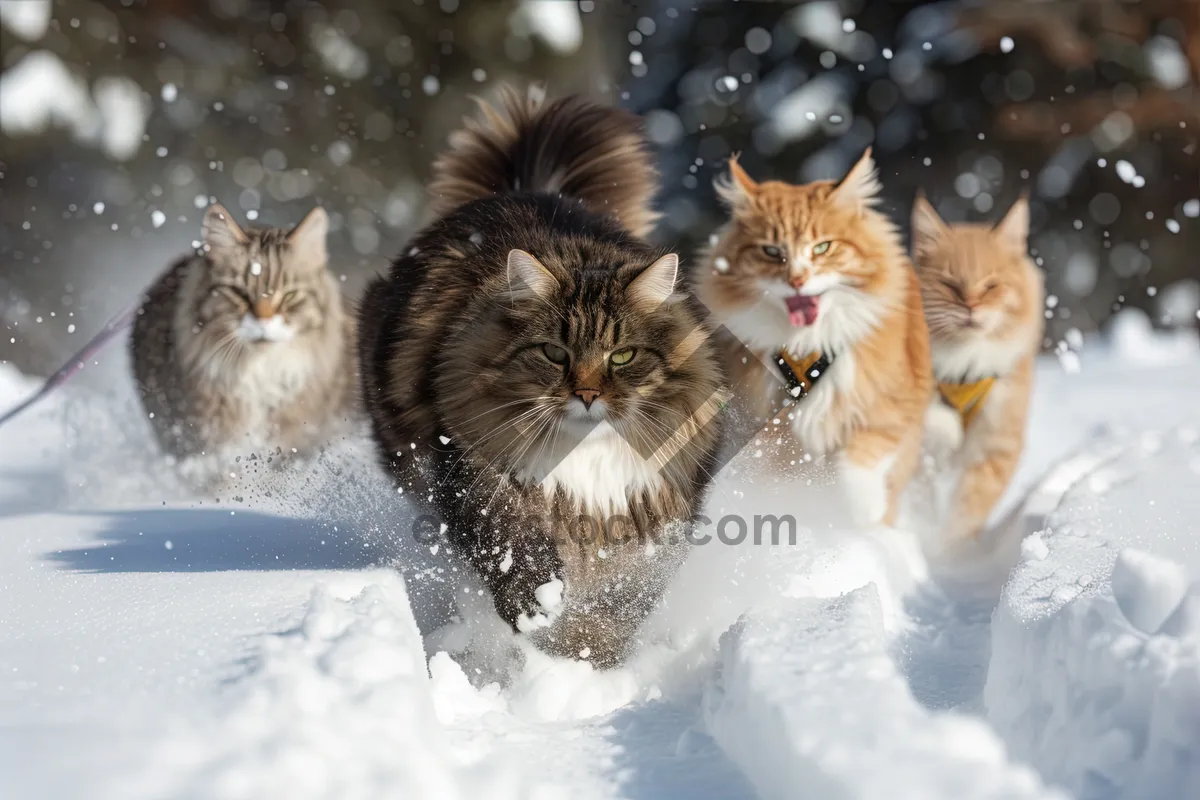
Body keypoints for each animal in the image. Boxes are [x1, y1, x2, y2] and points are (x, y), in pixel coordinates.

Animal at [357, 84, 720, 666]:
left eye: (622, 356)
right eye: (554, 352)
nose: (588, 393)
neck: (585, 458)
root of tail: (529, 189)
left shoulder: (652, 517)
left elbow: (621, 604)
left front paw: (588, 654)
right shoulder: (478, 478)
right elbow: (511, 548)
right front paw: (538, 608)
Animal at [696, 151, 936, 527]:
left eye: (823, 247)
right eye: (771, 251)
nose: (797, 279)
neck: (804, 346)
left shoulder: (889, 403)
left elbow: (862, 460)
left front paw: (861, 510)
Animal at [912, 191, 1046, 542]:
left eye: (990, 285)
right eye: (950, 284)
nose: (971, 306)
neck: (966, 365)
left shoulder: (997, 444)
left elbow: (966, 511)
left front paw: (945, 548)